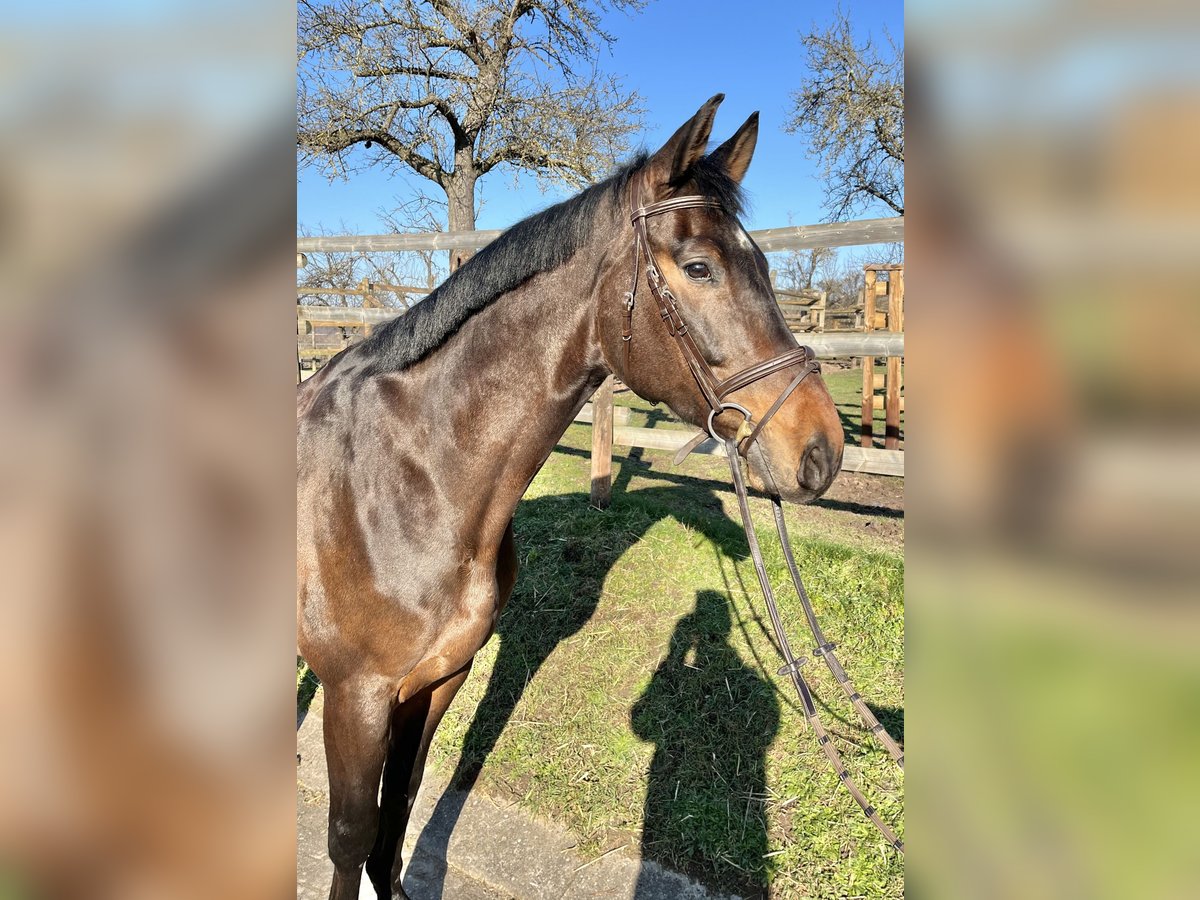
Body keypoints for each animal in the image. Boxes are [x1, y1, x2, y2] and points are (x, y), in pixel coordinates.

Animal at [298, 95, 844, 897]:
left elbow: (396, 818)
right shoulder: (356, 697)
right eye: (700, 267)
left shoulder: (439, 679)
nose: (821, 450)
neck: (408, 480)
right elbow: (350, 838)